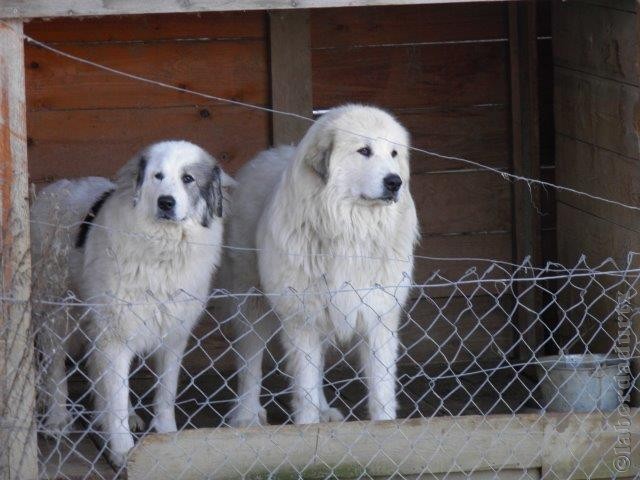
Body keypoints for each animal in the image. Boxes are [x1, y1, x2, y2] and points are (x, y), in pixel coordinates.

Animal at [30, 139, 235, 464]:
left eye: (188, 179)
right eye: (157, 176)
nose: (166, 202)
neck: (163, 248)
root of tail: (56, 187)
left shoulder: (173, 333)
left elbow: (165, 392)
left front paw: (166, 435)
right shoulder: (115, 332)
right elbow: (115, 393)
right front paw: (122, 450)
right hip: (56, 314)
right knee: (56, 371)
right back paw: (57, 420)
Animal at [220, 106, 420, 428]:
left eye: (393, 153)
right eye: (364, 151)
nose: (395, 182)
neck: (351, 231)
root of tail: (268, 155)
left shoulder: (378, 314)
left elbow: (381, 389)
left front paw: (385, 425)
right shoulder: (301, 317)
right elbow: (305, 389)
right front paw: (307, 428)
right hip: (252, 301)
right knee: (250, 360)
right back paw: (247, 415)